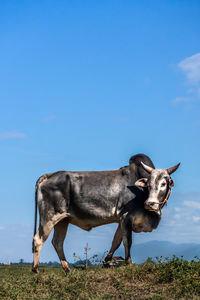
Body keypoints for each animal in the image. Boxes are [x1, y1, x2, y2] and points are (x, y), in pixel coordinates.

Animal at [31, 154, 180, 274]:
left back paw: (67, 269)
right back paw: (36, 269)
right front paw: (129, 263)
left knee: (57, 242)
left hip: (63, 220)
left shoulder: (121, 221)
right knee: (38, 239)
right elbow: (127, 241)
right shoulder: (126, 217)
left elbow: (116, 242)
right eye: (148, 184)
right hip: (49, 217)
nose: (150, 203)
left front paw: (106, 263)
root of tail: (49, 175)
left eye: (164, 183)